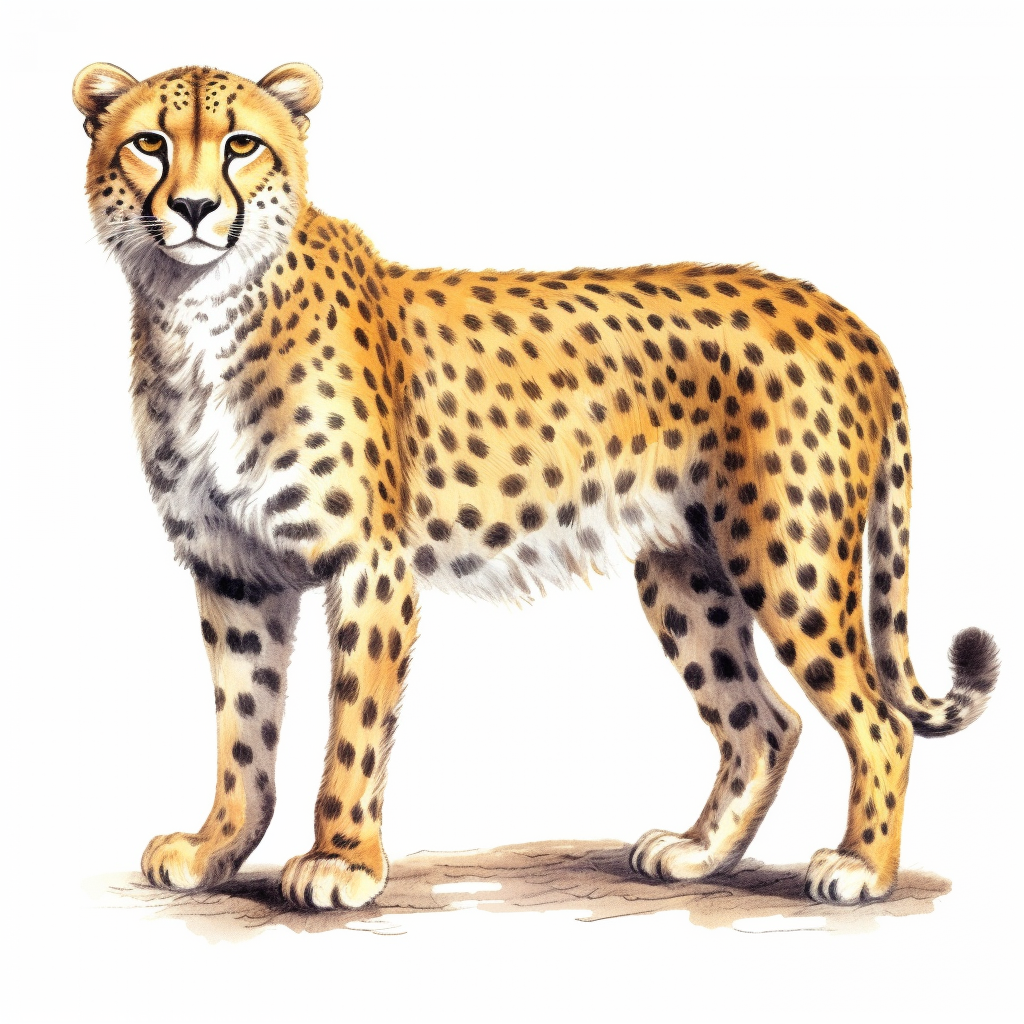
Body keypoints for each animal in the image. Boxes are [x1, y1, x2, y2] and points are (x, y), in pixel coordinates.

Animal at [74, 61, 999, 910]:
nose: (195, 209)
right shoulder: (234, 572)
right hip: (685, 576)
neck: (201, 309)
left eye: (242, 145)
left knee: (879, 721)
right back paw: (699, 852)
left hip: (788, 562)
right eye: (150, 143)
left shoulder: (368, 565)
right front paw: (217, 847)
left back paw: (862, 867)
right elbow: (243, 728)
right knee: (765, 722)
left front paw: (340, 861)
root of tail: (841, 316)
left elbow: (353, 731)